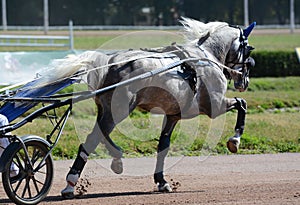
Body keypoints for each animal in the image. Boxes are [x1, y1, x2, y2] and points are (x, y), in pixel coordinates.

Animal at [60, 18, 255, 197]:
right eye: (247, 49)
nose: (244, 81)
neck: (206, 58)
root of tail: (110, 62)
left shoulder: (173, 115)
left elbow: (163, 146)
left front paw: (161, 181)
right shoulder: (215, 105)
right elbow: (242, 104)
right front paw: (235, 140)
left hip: (107, 110)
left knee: (101, 135)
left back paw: (116, 157)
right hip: (119, 111)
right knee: (91, 140)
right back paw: (70, 184)